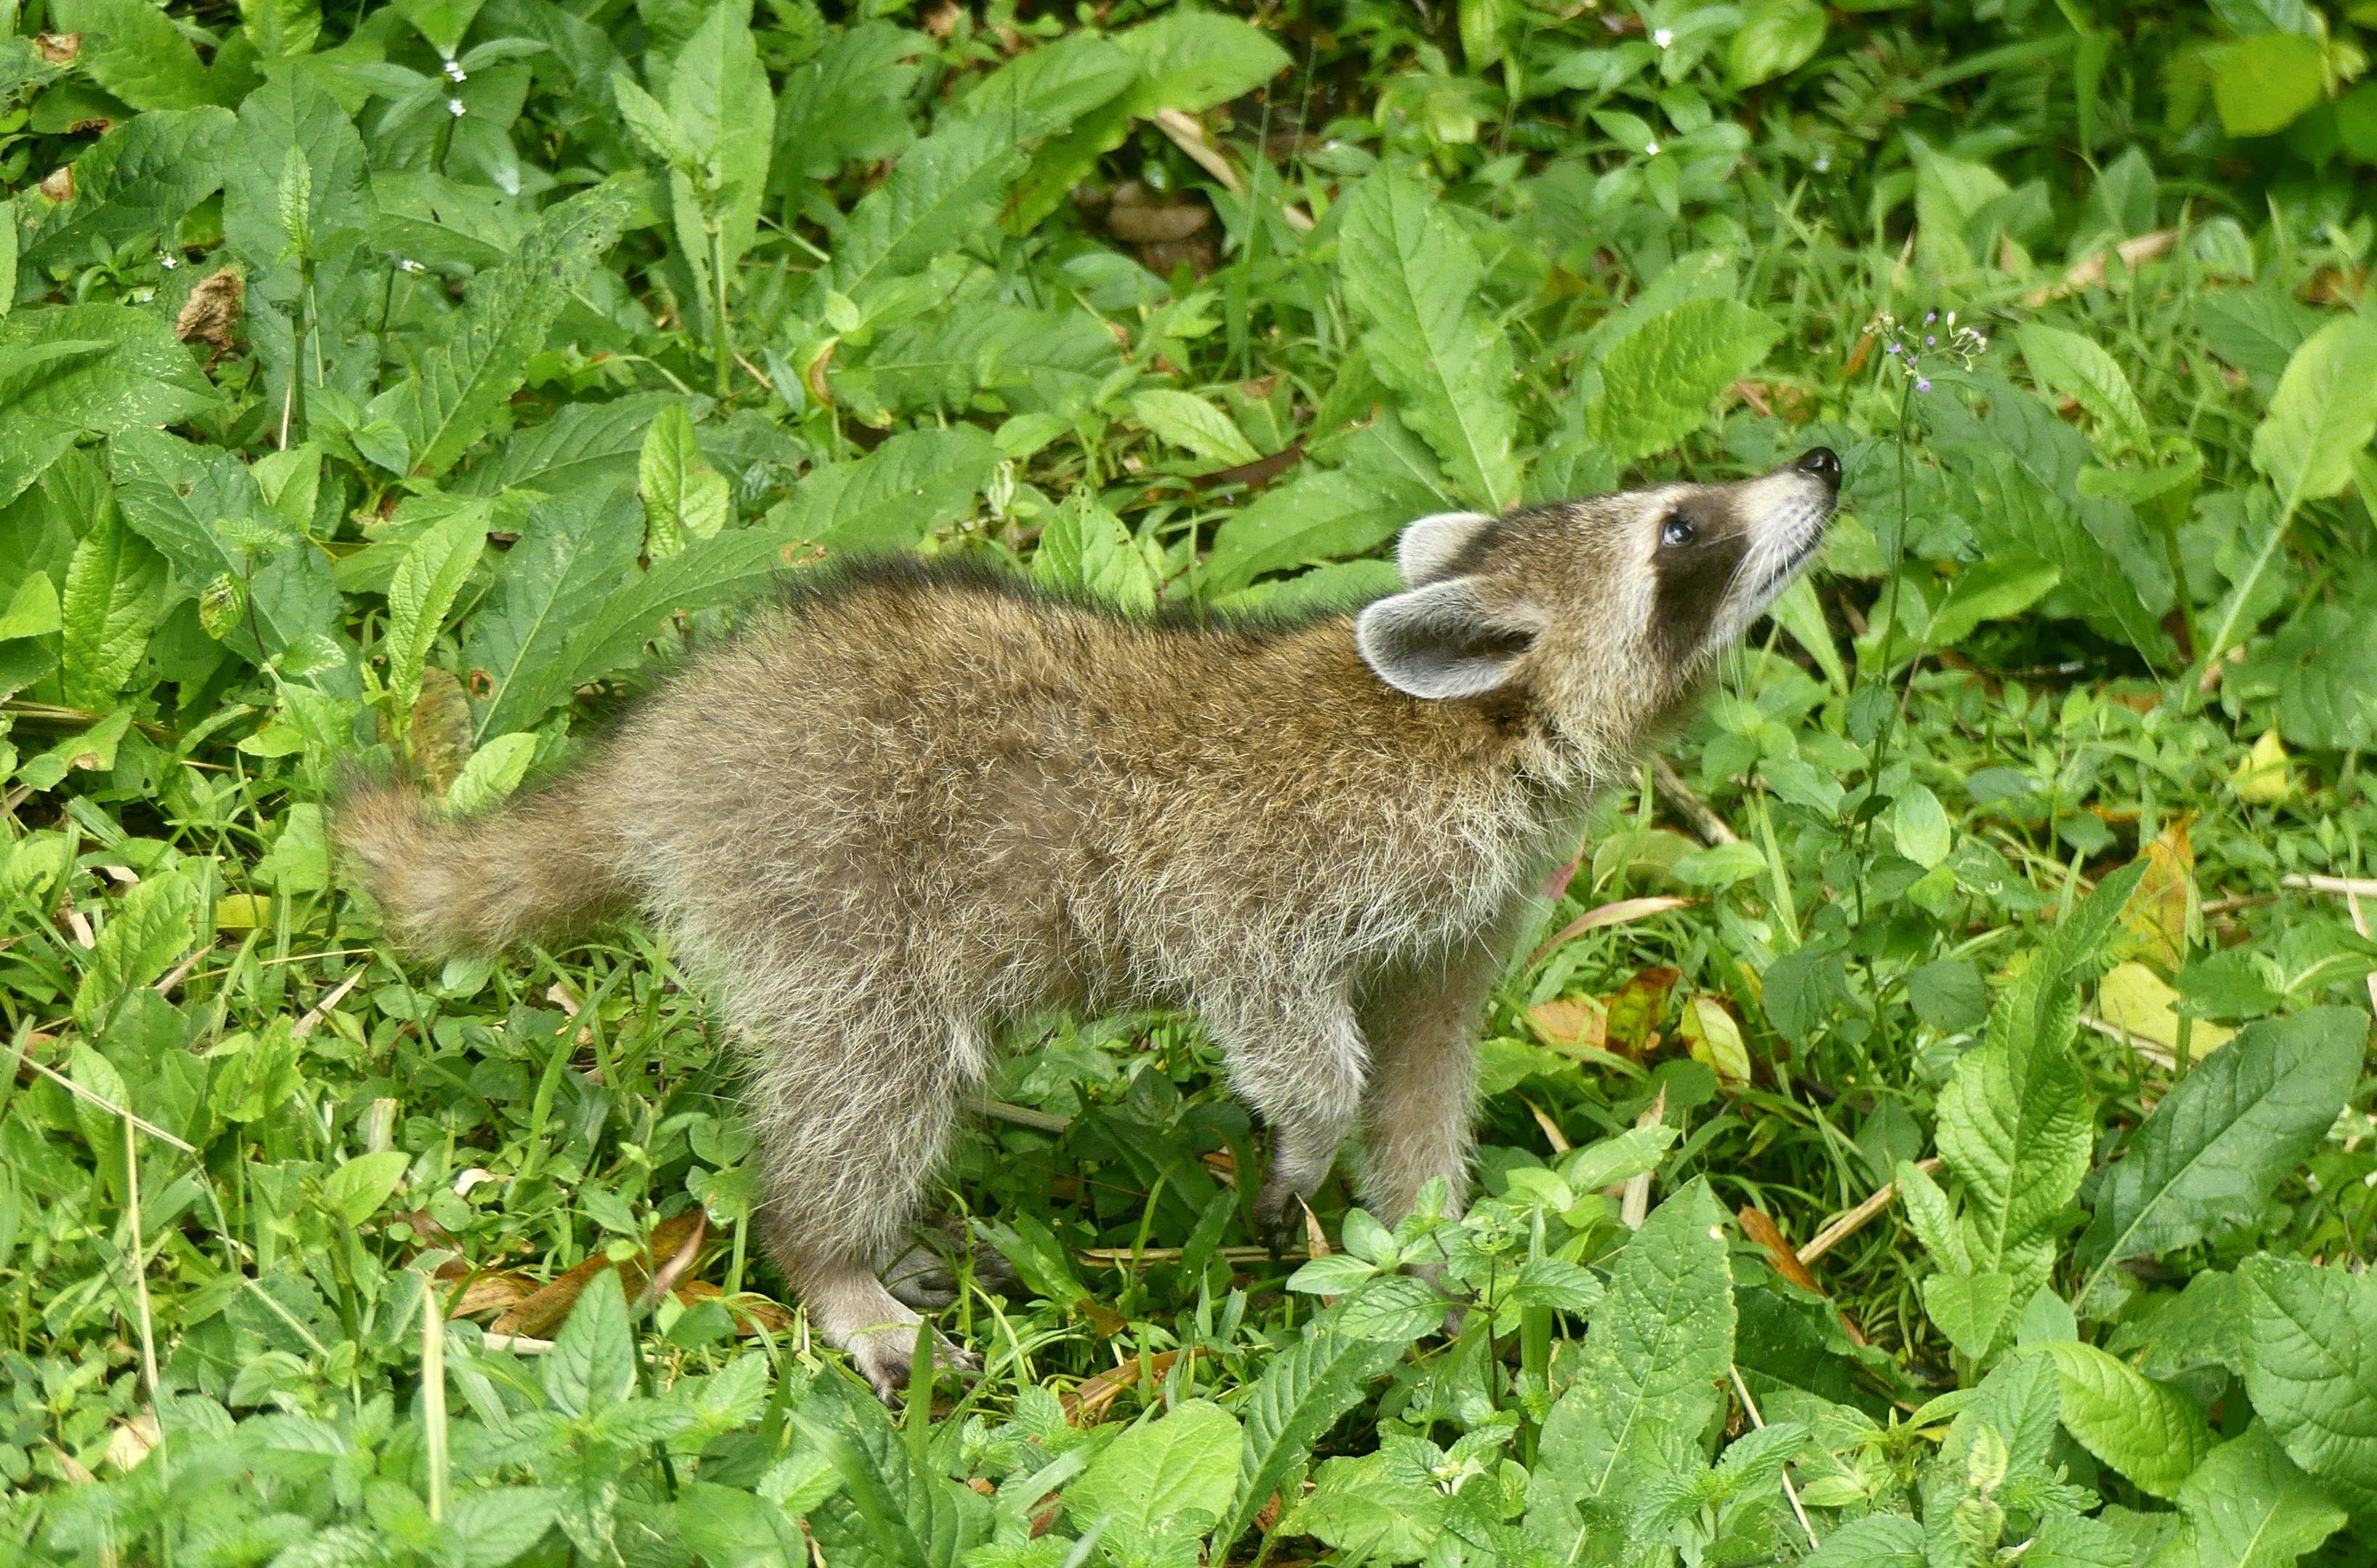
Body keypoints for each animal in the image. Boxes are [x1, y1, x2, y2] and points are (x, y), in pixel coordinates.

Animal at [344, 446, 1844, 1387]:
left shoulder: (1466, 910)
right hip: (831, 875)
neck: (1488, 724)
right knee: (871, 1077)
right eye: (1681, 529)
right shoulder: (1282, 858)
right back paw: (829, 1255)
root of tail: (669, 742)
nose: (1822, 463)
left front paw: (1430, 1242)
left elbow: (1422, 1075)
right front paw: (1309, 1135)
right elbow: (1280, 1011)